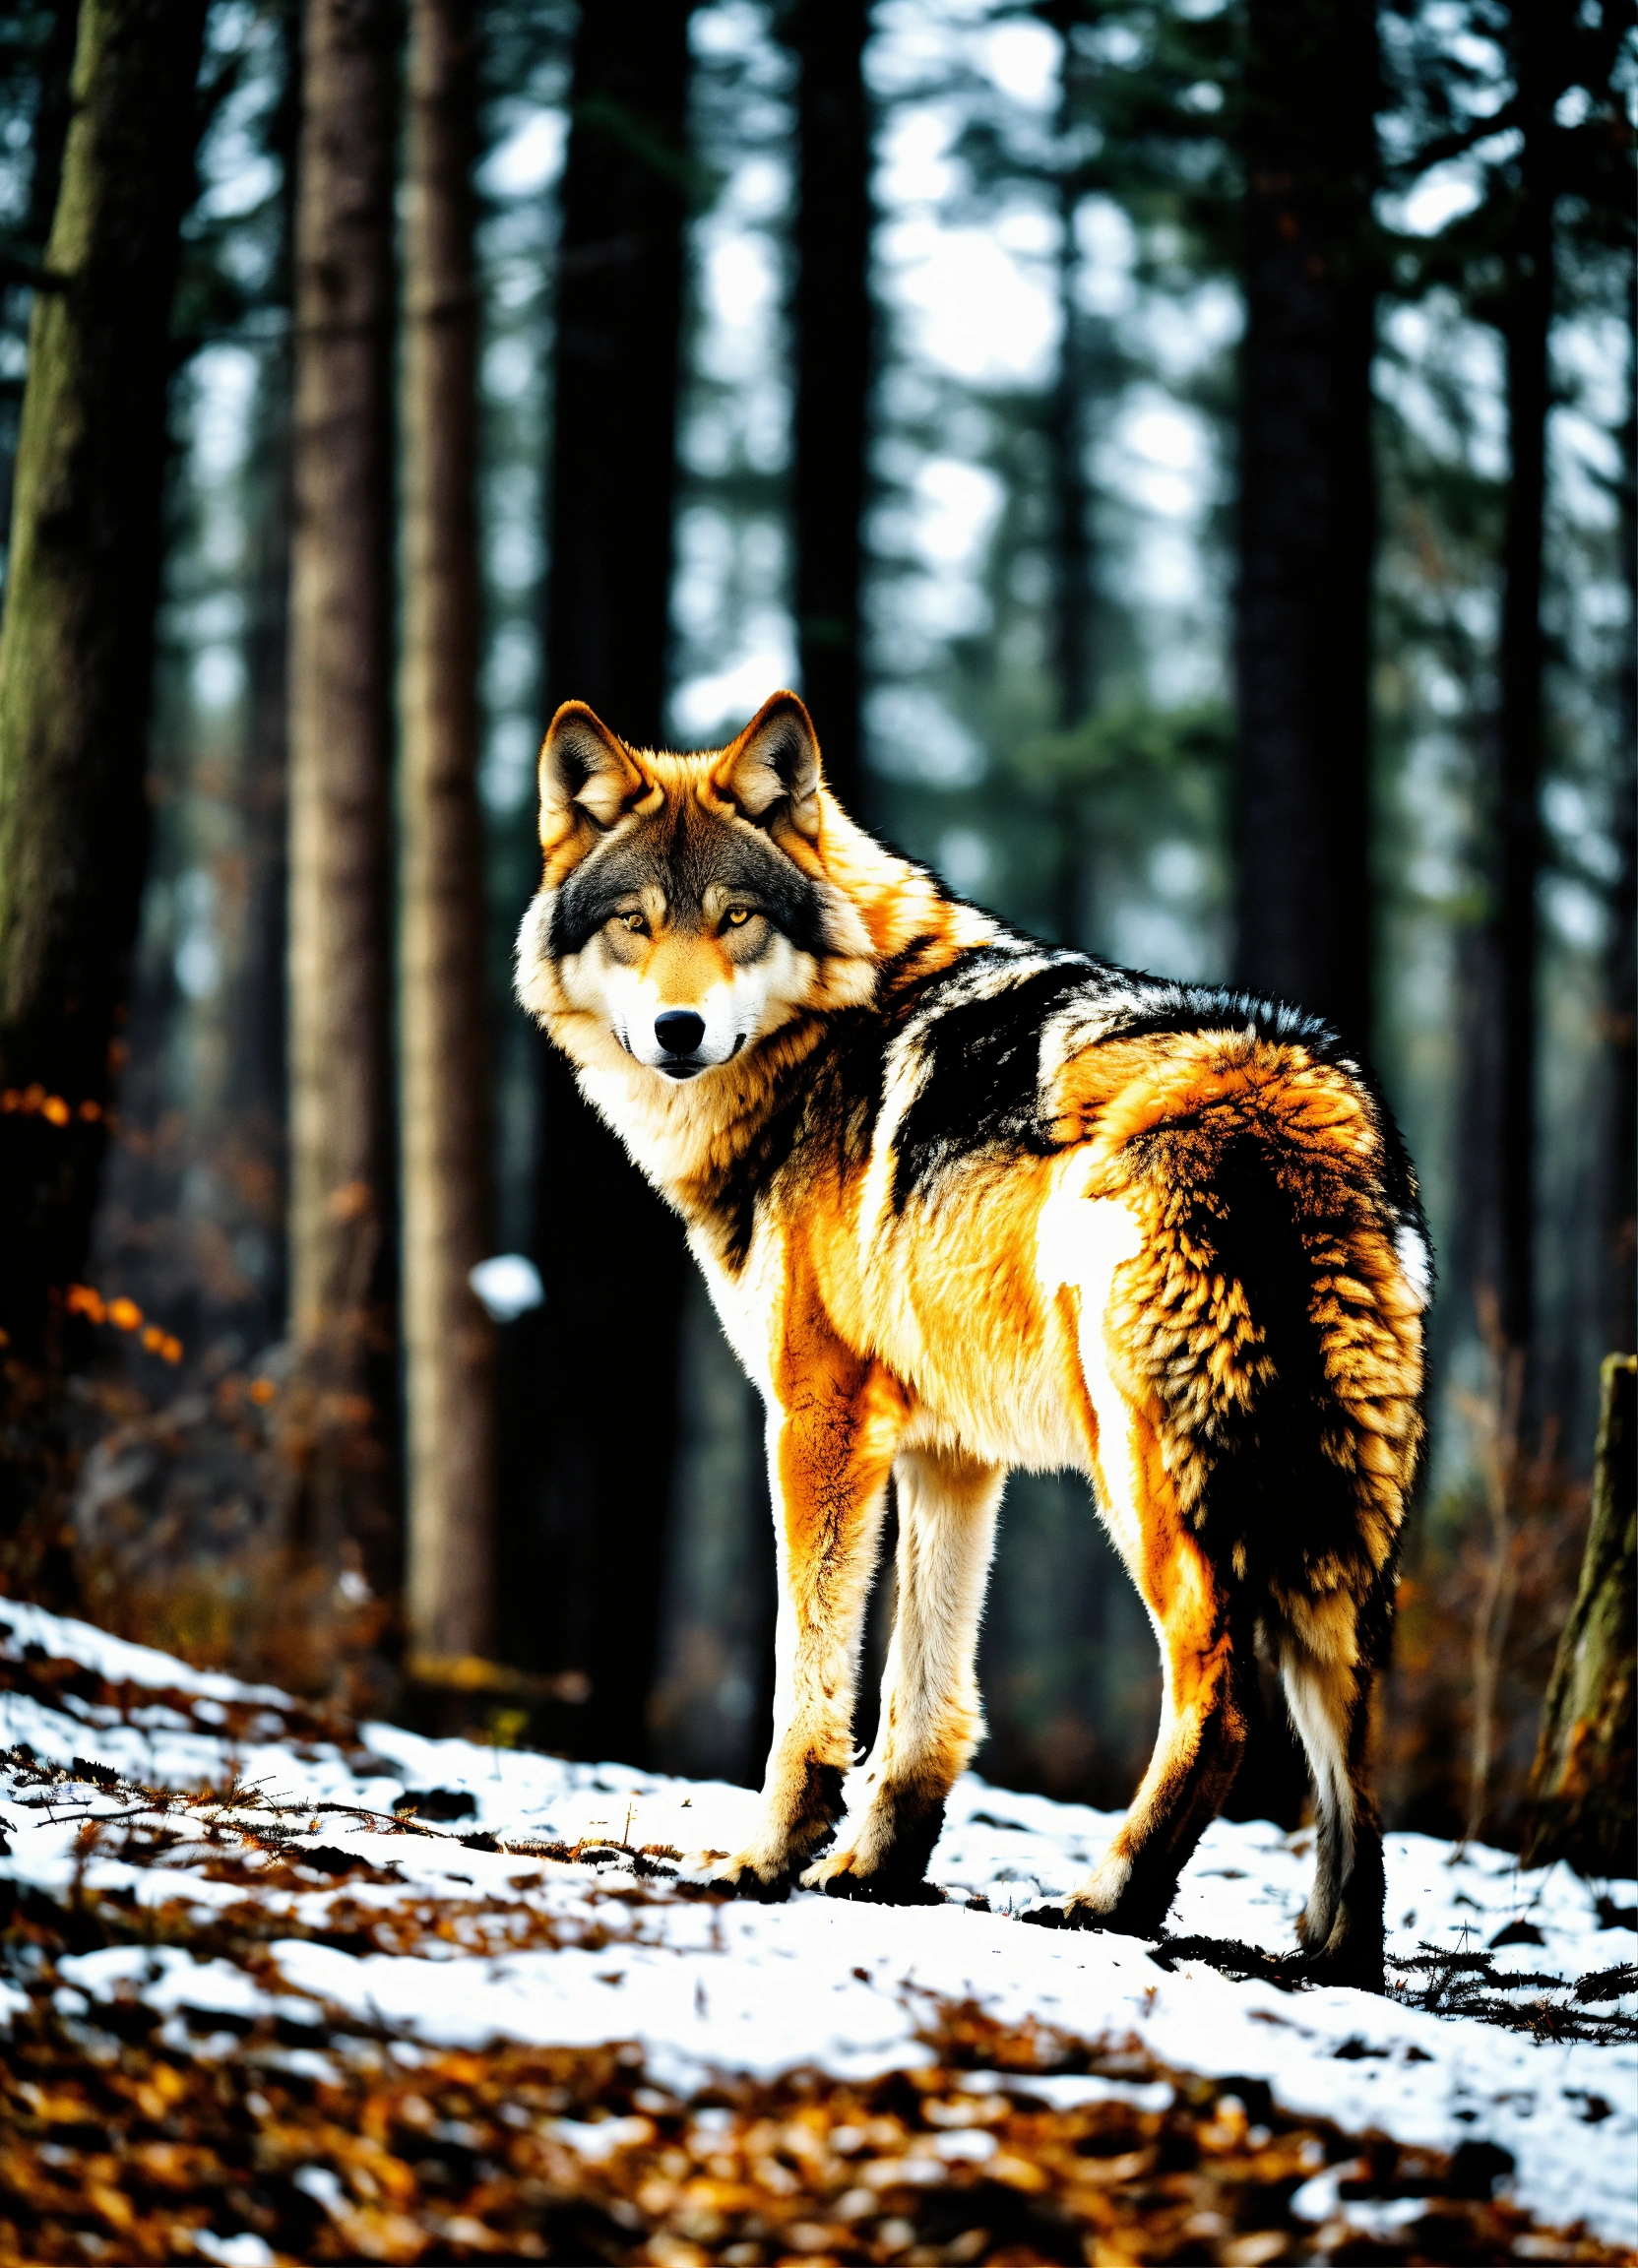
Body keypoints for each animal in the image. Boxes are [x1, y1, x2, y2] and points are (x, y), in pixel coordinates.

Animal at [516, 689, 1429, 1986]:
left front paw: (767, 1858)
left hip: (1143, 1479)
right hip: (1334, 1513)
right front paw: (874, 1871)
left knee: (1224, 1703)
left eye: (735, 920)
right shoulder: (949, 1454)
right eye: (636, 926)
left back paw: (1108, 1899)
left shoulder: (816, 1418)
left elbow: (808, 1681)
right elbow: (924, 1705)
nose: (677, 1029)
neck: (824, 1041)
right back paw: (1336, 1952)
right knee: (1351, 1715)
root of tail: (1286, 1106)